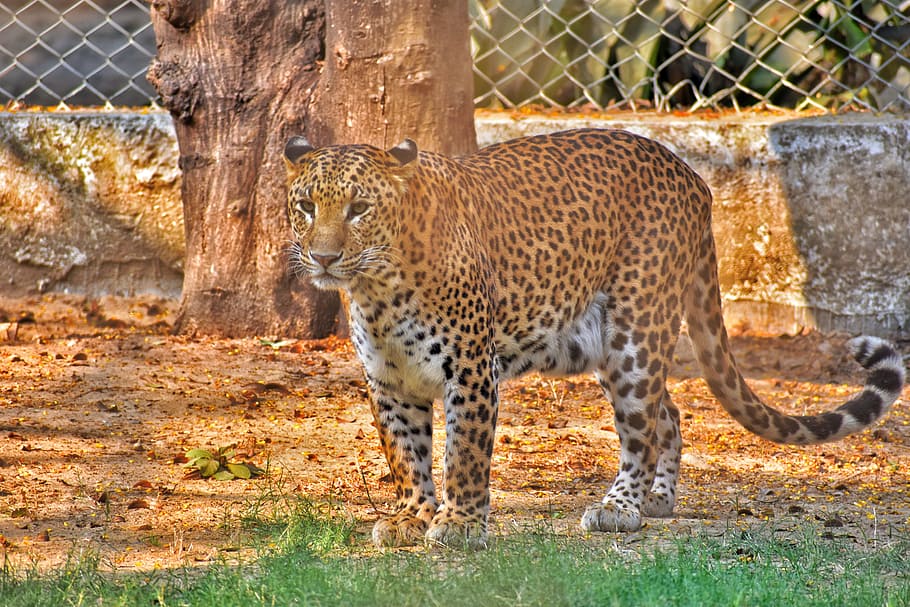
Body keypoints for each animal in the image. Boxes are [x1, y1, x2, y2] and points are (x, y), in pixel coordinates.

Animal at [284, 129, 904, 552]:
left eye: (359, 209)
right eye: (306, 206)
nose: (324, 257)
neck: (378, 288)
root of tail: (692, 175)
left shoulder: (471, 370)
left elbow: (464, 453)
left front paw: (459, 524)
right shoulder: (389, 380)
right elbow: (405, 453)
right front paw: (412, 516)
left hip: (635, 333)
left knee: (641, 428)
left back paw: (621, 507)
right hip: (594, 344)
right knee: (668, 413)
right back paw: (658, 500)